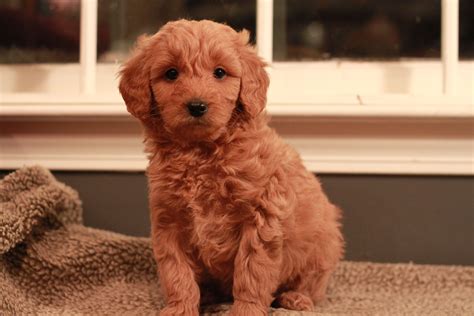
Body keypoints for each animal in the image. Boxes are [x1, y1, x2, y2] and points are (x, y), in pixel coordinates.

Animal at [117, 20, 340, 316]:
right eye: (171, 73)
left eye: (220, 72)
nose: (197, 106)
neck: (201, 153)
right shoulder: (169, 221)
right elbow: (176, 272)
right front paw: (180, 307)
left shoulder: (260, 218)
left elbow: (251, 271)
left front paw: (246, 309)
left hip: (322, 245)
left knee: (312, 282)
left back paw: (296, 298)